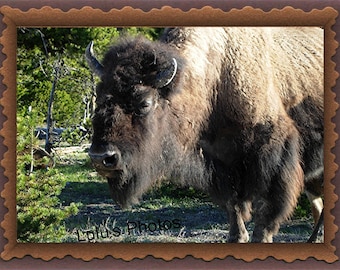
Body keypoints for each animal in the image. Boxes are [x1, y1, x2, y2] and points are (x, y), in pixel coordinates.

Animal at [85, 27, 324, 243]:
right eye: (99, 96)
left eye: (144, 103)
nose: (101, 157)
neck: (215, 77)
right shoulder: (220, 162)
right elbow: (232, 204)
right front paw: (237, 236)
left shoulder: (272, 155)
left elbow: (267, 206)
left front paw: (260, 237)